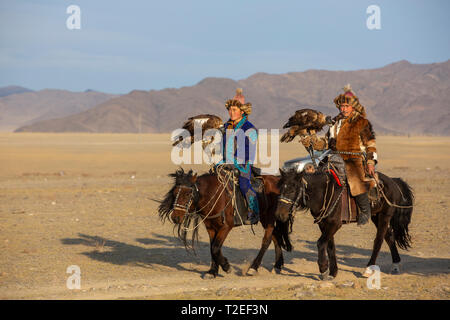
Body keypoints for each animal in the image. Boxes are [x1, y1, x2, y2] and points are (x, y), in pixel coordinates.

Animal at [156, 166, 294, 278]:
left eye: (188, 194)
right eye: (174, 193)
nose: (175, 217)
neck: (214, 195)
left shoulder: (226, 227)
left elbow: (216, 247)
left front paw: (227, 267)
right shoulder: (211, 227)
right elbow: (212, 248)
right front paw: (212, 272)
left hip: (268, 218)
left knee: (267, 240)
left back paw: (253, 268)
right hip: (267, 220)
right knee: (275, 236)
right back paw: (278, 265)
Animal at [276, 166, 414, 278]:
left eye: (292, 190)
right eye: (281, 189)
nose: (279, 214)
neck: (324, 193)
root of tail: (393, 181)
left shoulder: (335, 224)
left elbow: (320, 243)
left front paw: (323, 269)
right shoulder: (324, 224)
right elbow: (330, 246)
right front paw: (333, 272)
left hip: (385, 215)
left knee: (379, 240)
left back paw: (368, 269)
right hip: (376, 216)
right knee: (389, 237)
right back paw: (395, 265)